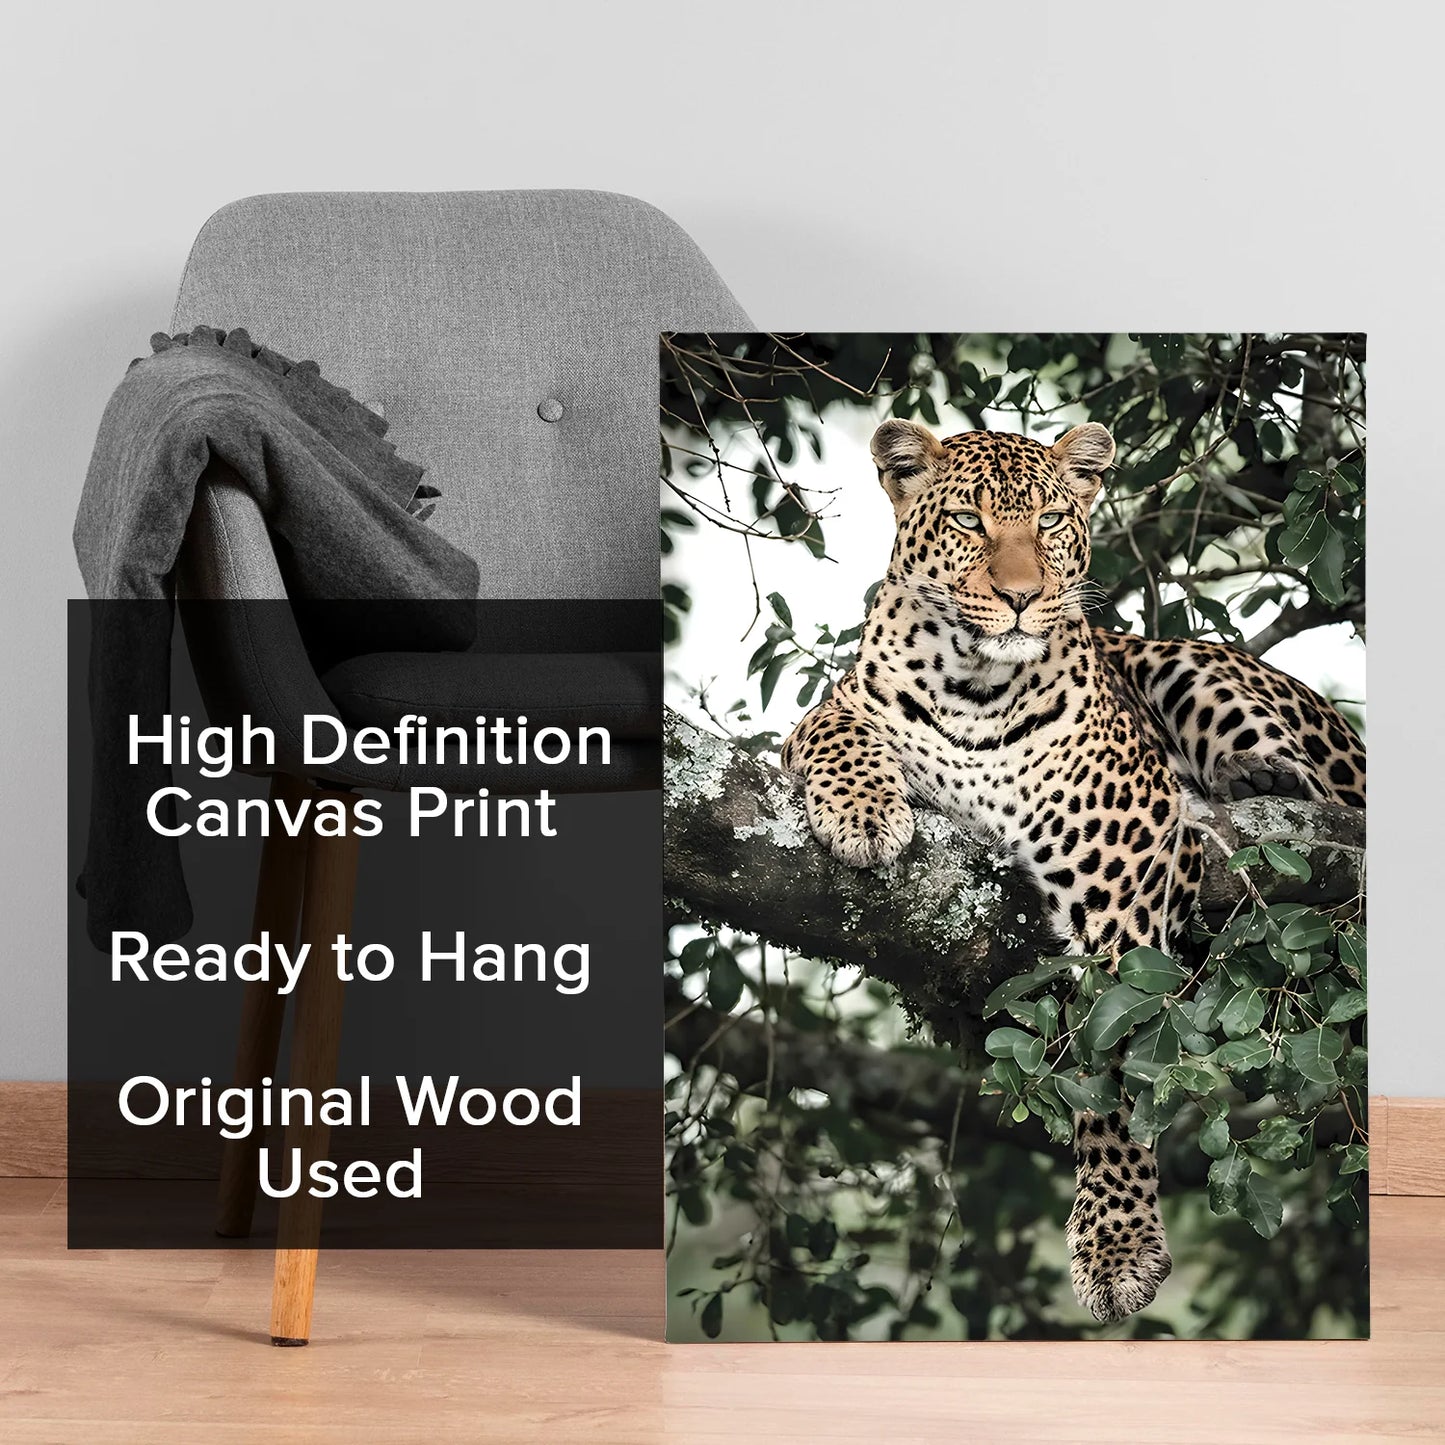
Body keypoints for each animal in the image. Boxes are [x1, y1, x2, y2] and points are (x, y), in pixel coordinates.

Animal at [780, 418, 1366, 1324]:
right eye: (968, 520)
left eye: (1050, 520)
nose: (1024, 595)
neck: (974, 688)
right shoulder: (838, 708)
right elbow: (833, 726)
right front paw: (864, 814)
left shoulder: (1120, 870)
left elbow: (1117, 1063)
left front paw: (1116, 1242)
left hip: (1190, 672)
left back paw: (1247, 783)